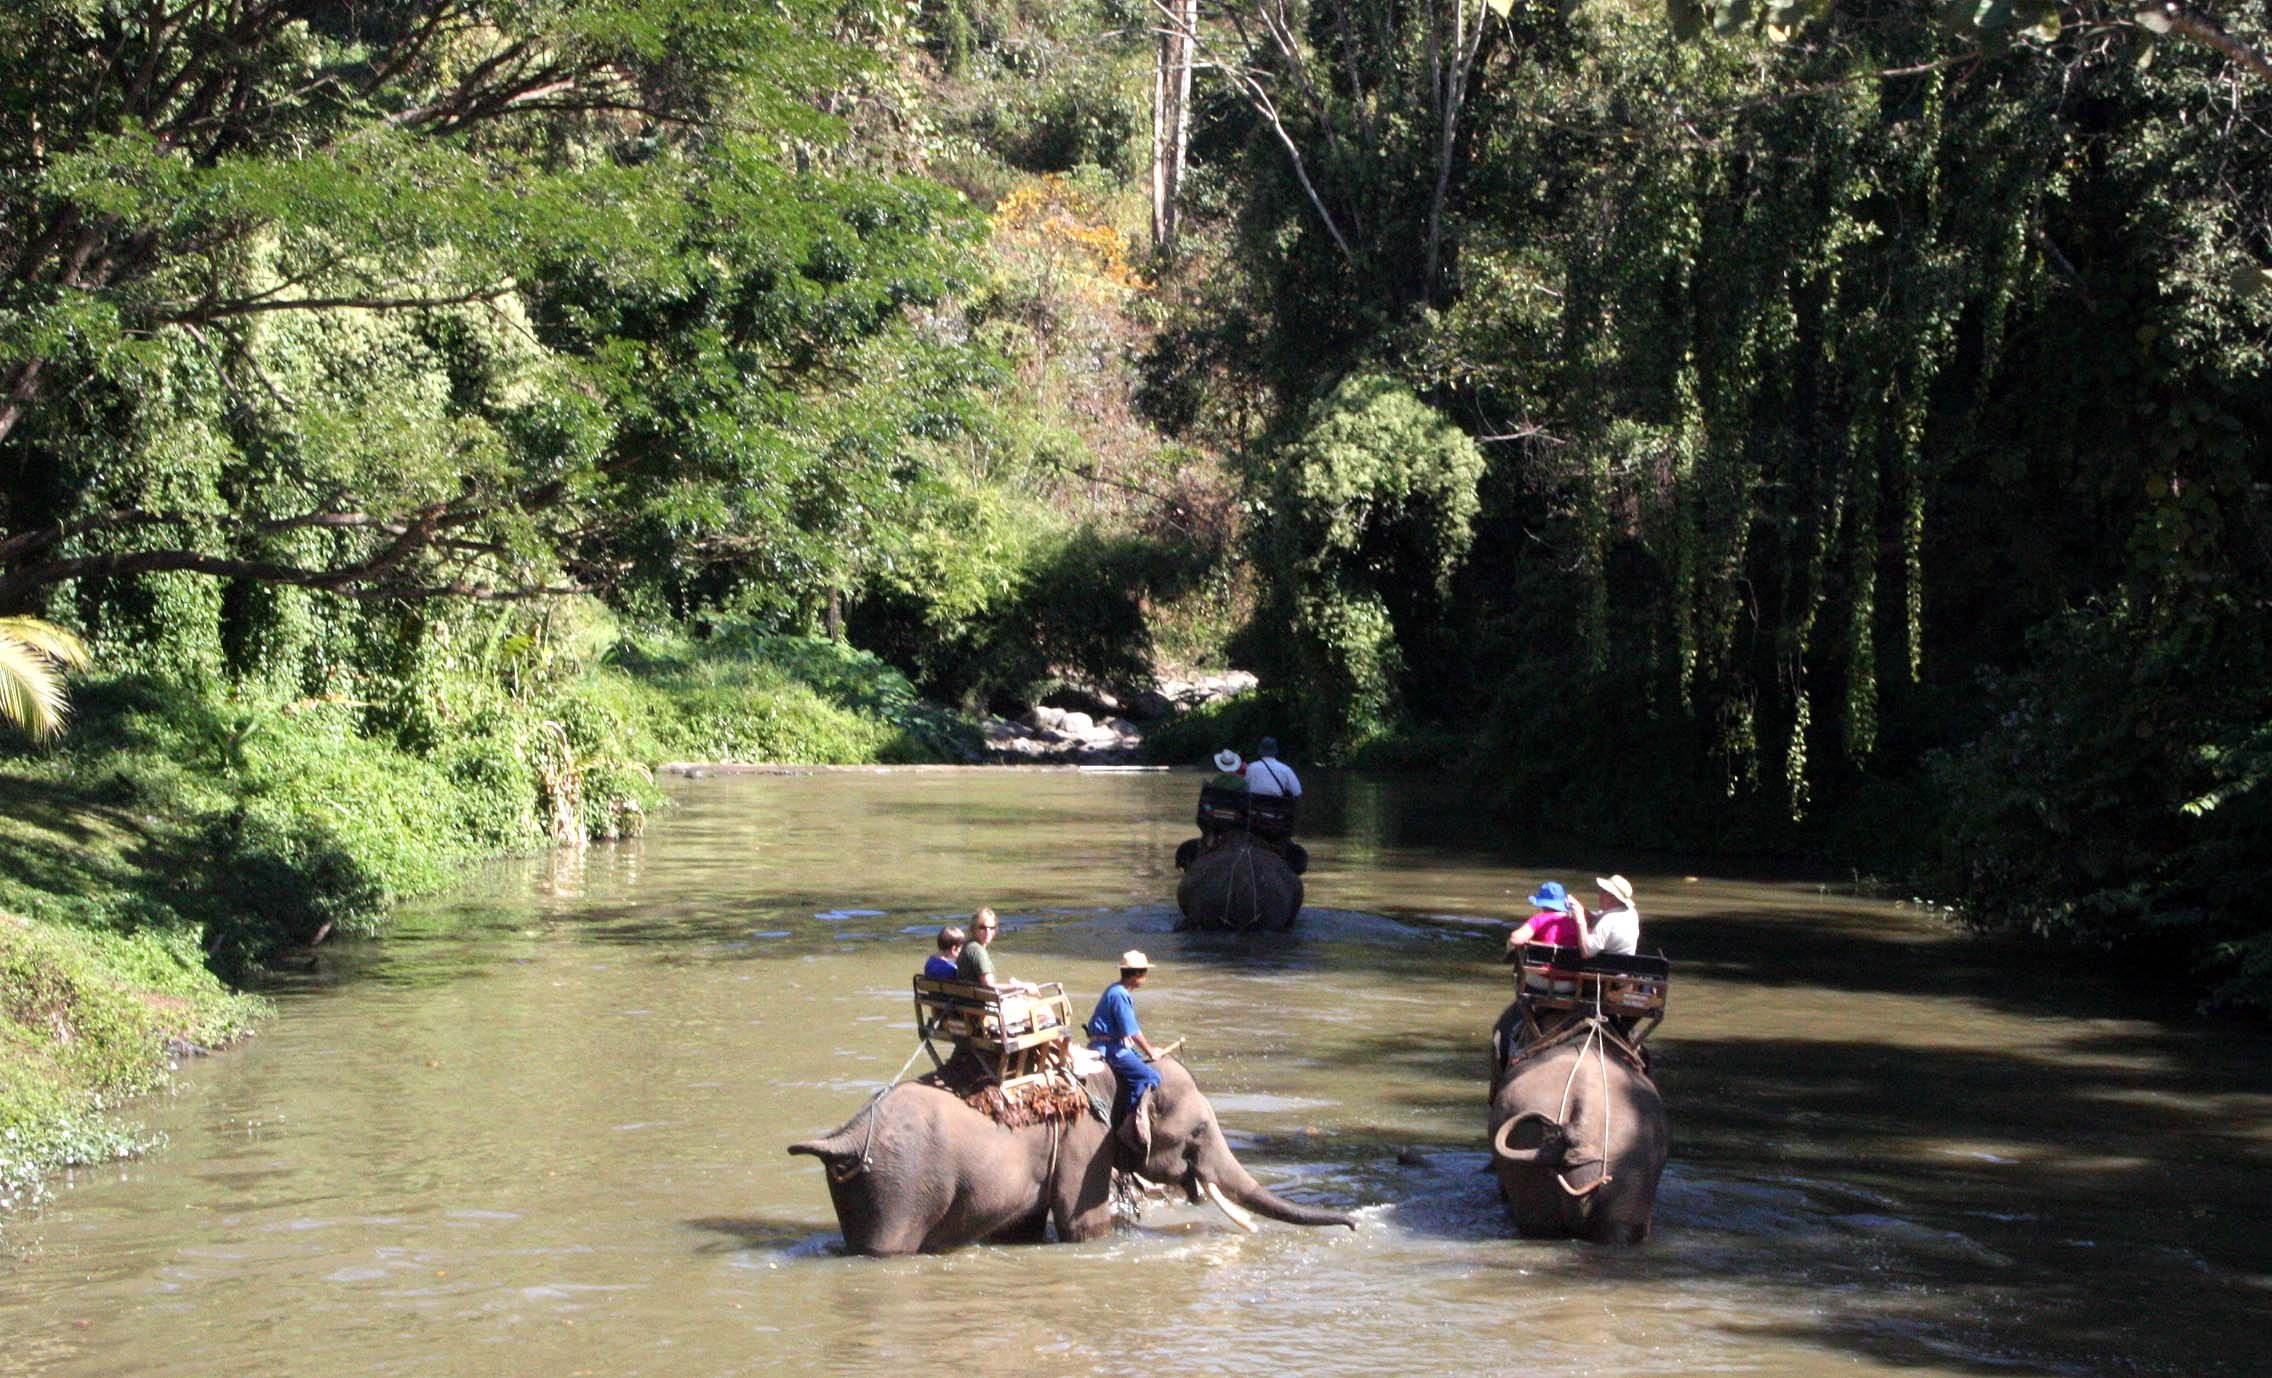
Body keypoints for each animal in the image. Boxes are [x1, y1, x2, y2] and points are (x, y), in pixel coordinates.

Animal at [788, 1055, 1356, 1255]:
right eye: (1197, 1131)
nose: (1352, 1225)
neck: (1112, 1071)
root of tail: (844, 1137)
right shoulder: (1086, 1139)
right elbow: (1084, 1225)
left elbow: (1022, 1226)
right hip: (899, 1189)